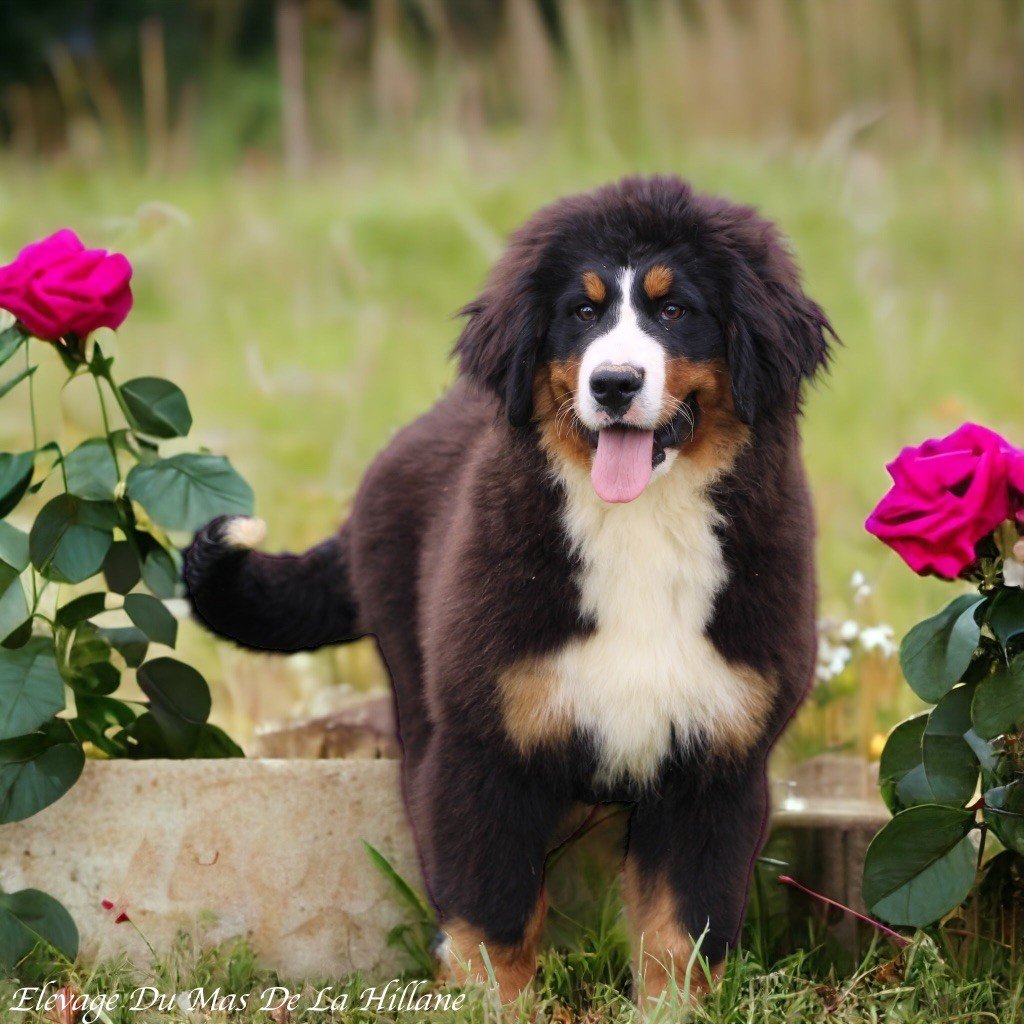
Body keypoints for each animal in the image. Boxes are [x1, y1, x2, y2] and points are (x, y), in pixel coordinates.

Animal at [186, 174, 831, 999]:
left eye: (675, 309)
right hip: (417, 684)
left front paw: (672, 1009)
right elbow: (494, 914)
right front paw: (494, 1001)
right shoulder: (484, 744)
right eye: (583, 311)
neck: (641, 525)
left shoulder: (718, 758)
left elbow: (681, 930)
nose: (613, 383)